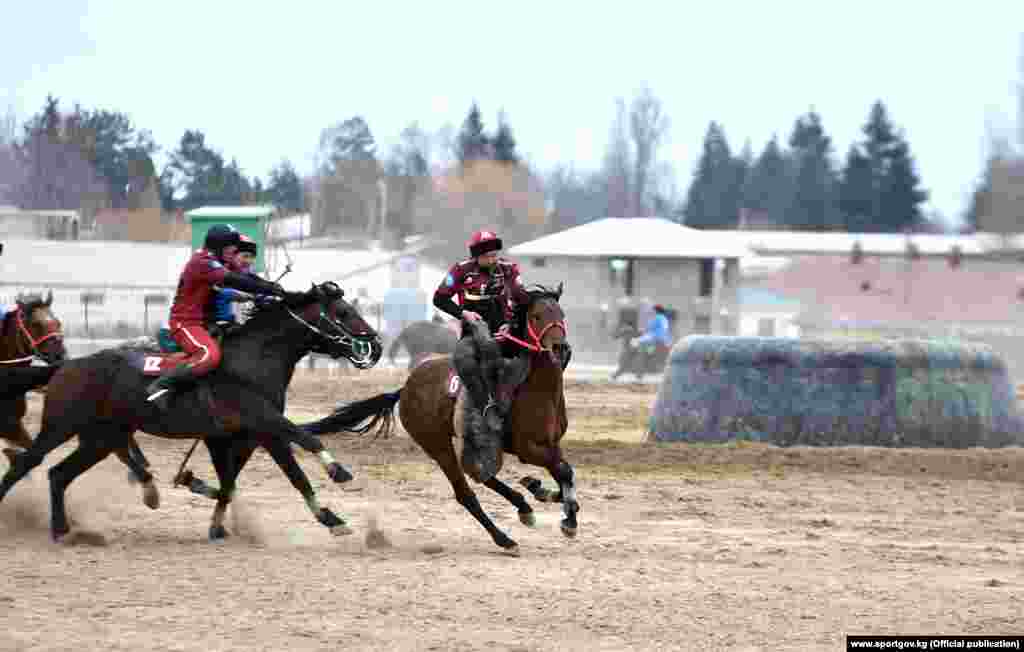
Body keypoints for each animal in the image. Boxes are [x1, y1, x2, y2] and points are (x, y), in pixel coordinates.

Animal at [0, 282, 385, 540]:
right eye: (343, 313)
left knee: (58, 474)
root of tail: (65, 366)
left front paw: (331, 519)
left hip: (101, 438)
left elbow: (286, 476)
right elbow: (304, 437)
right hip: (61, 426)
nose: (377, 346)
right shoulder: (264, 419)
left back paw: (63, 529)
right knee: (27, 463)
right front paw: (339, 472)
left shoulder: (256, 434)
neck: (254, 359)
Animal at [299, 282, 581, 552]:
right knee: (465, 491)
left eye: (561, 314)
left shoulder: (550, 444)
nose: (560, 348)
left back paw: (524, 506)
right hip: (437, 445)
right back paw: (505, 539)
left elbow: (563, 474)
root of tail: (406, 389)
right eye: (536, 316)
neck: (531, 387)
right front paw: (567, 519)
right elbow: (563, 471)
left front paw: (547, 494)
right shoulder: (528, 448)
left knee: (480, 475)